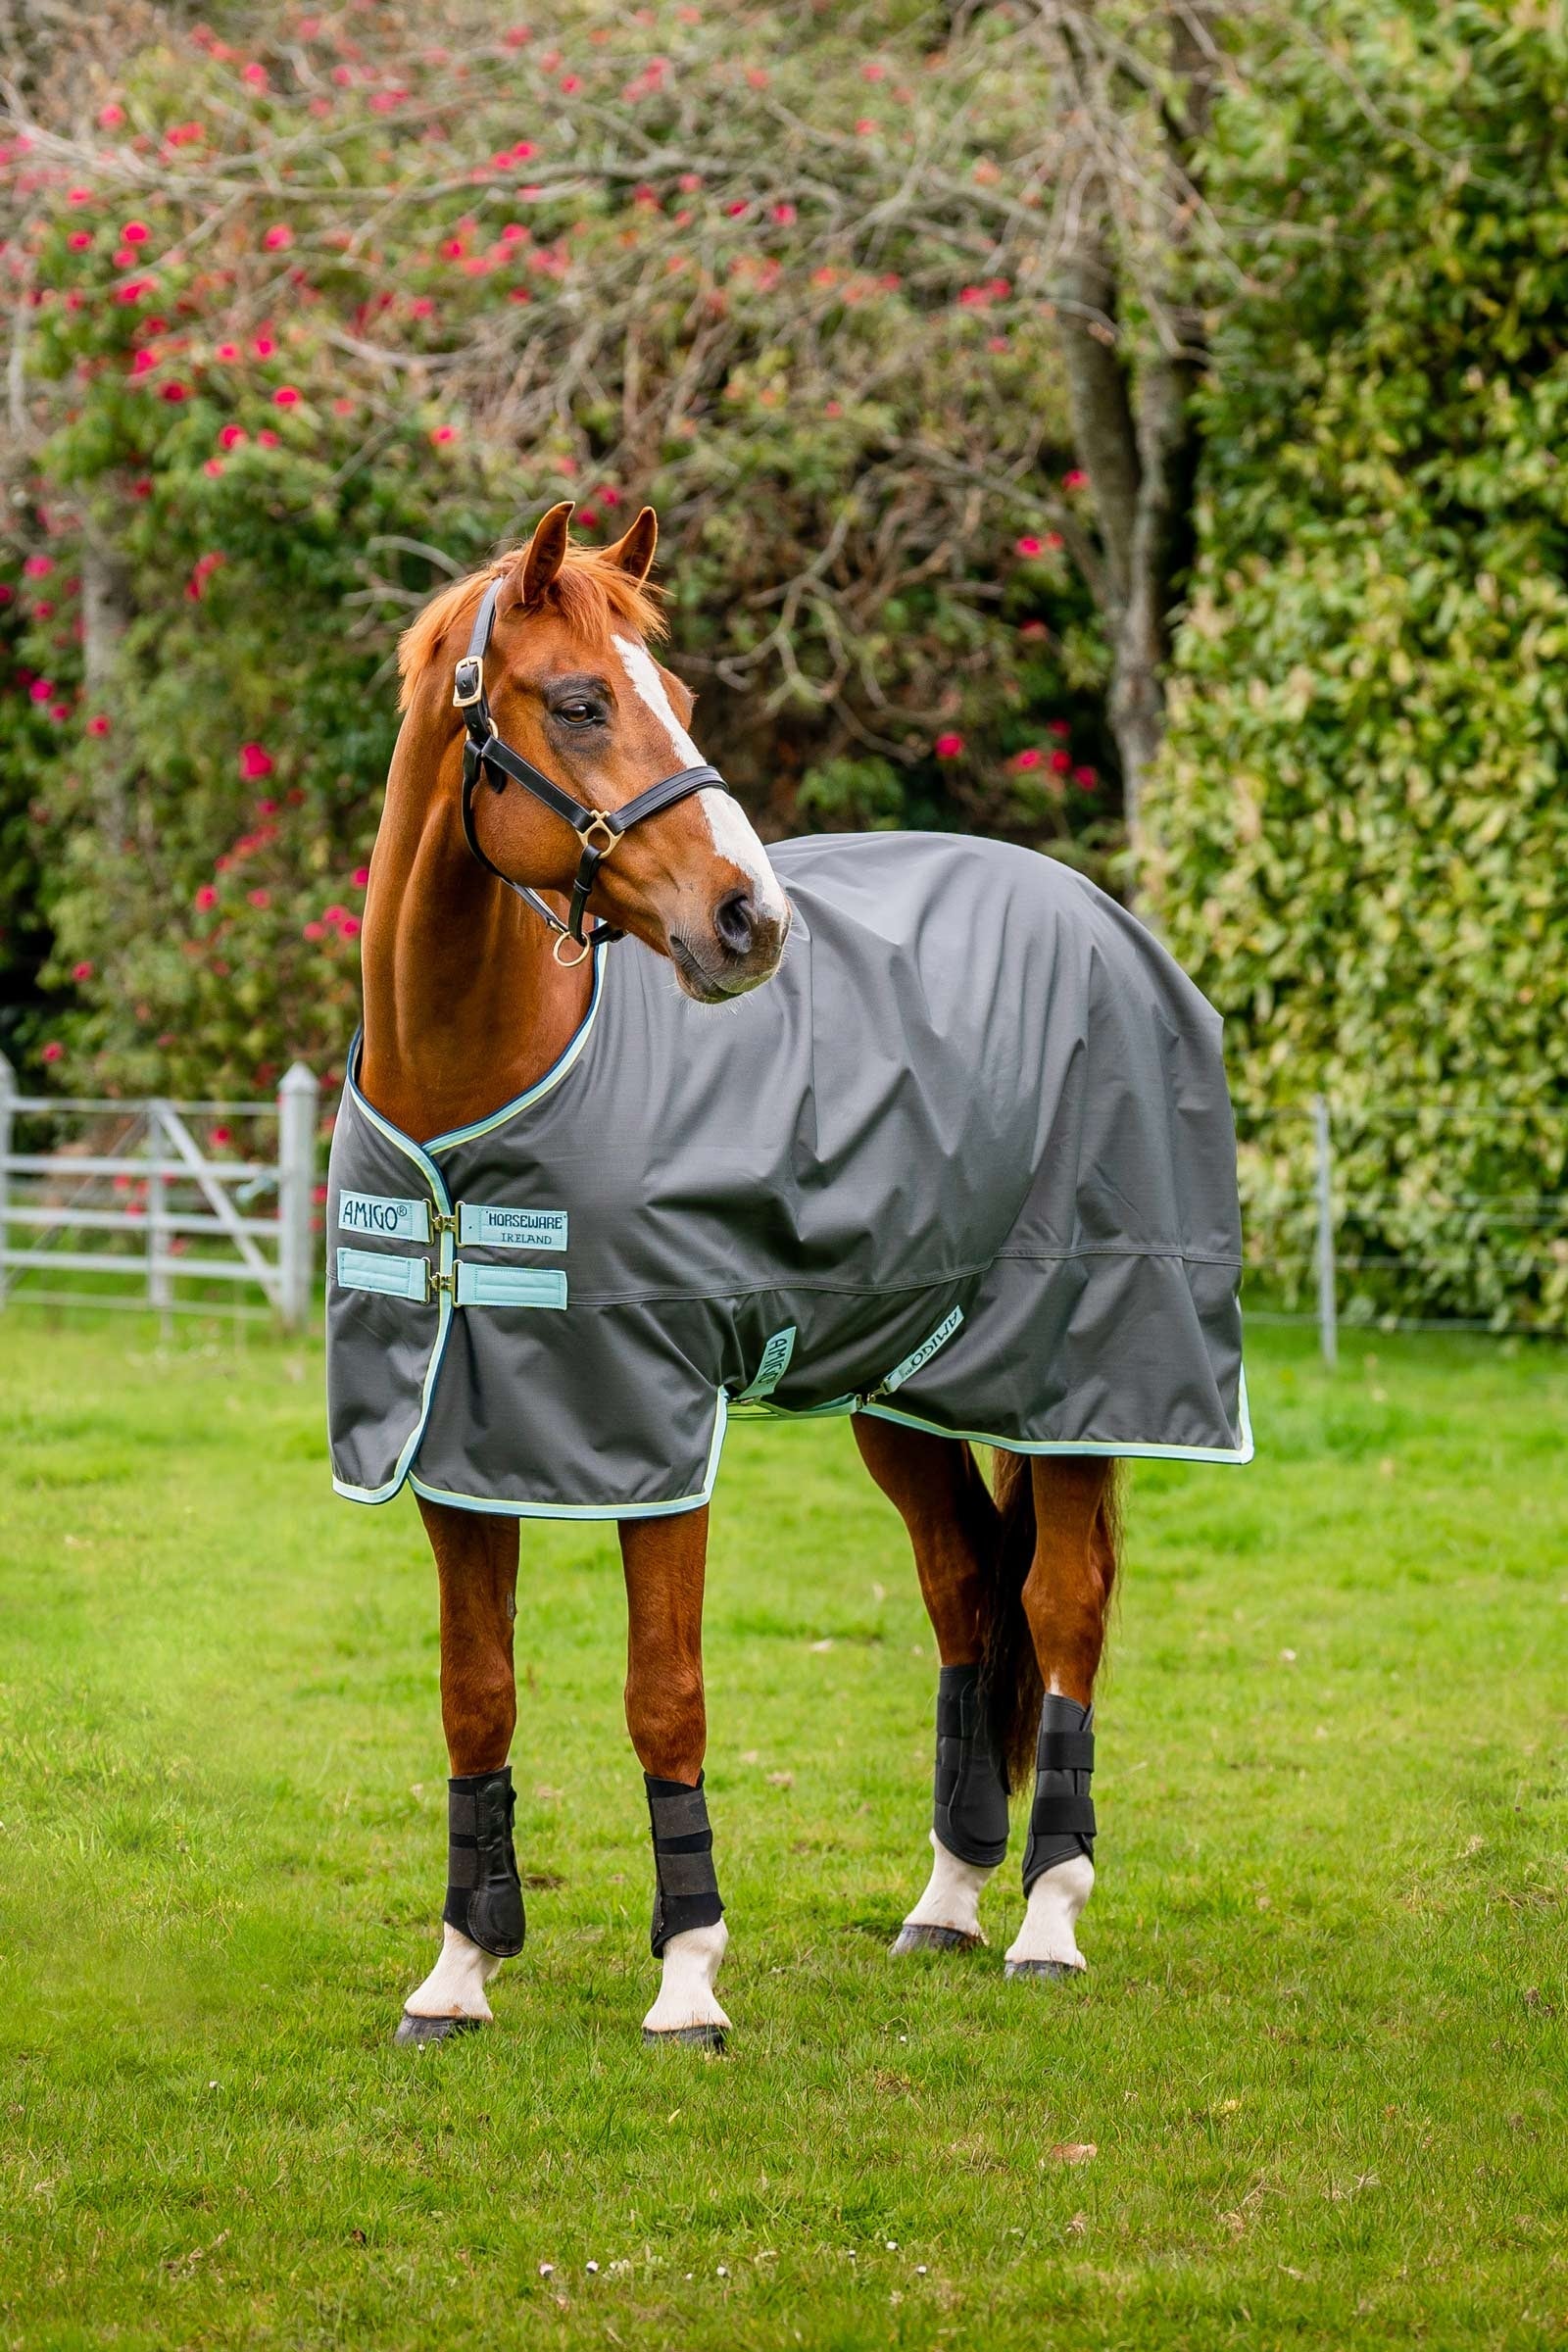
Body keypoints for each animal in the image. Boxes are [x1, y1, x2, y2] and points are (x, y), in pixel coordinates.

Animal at [336, 500, 1248, 2048]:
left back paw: (1048, 1920)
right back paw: (949, 1901)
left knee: (1061, 1606)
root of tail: (1103, 919)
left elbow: (666, 1695)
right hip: (908, 1392)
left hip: (1081, 1377)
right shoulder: (461, 1443)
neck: (481, 1082)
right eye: (578, 702)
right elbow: (477, 1697)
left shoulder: (651, 1434)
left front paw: (689, 1977)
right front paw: (458, 1971)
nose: (750, 922)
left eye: (677, 698)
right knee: (966, 1596)